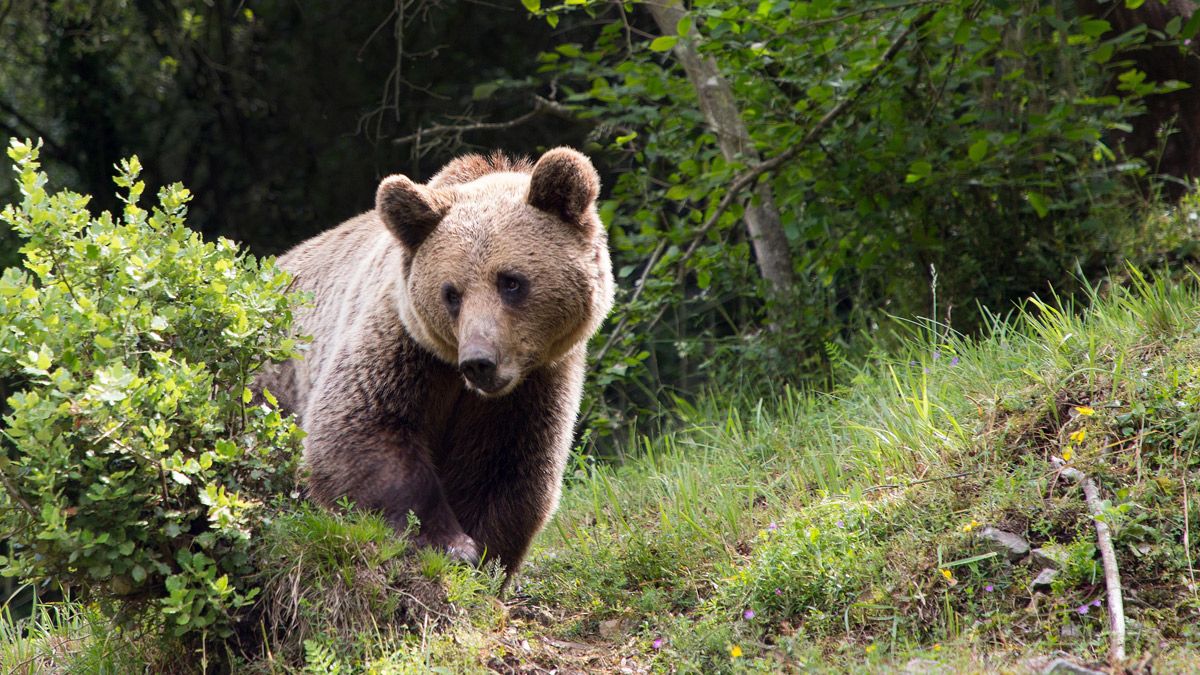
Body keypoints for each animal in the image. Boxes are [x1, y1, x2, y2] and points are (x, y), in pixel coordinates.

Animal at [264, 145, 619, 566]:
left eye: (511, 281)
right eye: (451, 293)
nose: (479, 361)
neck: (464, 385)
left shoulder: (535, 385)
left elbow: (506, 468)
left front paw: (483, 552)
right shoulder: (403, 346)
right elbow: (360, 429)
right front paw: (449, 542)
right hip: (274, 383)